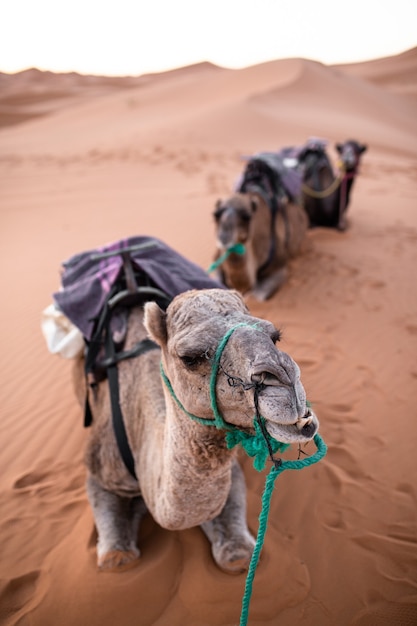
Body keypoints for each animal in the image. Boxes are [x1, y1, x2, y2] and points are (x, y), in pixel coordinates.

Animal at [74, 286, 318, 572]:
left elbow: (237, 556)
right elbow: (116, 558)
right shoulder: (100, 467)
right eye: (190, 358)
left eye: (275, 337)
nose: (286, 379)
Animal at [211, 152, 306, 300]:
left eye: (247, 216)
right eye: (216, 215)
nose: (224, 236)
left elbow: (258, 296)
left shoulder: (279, 266)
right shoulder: (216, 260)